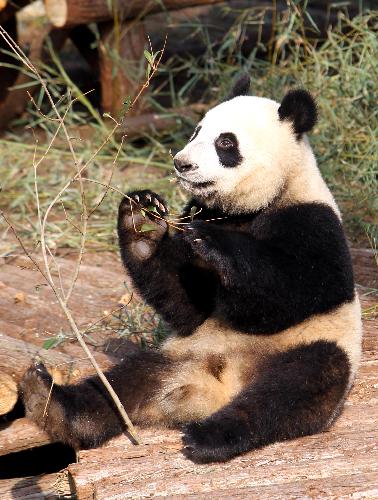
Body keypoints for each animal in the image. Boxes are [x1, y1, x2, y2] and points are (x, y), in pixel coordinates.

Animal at [19, 75, 360, 464]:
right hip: (179, 355)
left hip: (313, 347)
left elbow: (288, 295)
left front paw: (214, 245)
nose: (182, 164)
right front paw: (142, 223)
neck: (248, 208)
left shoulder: (313, 222)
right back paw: (52, 404)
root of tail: (216, 388)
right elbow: (186, 305)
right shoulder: (197, 215)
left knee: (291, 390)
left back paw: (209, 437)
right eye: (197, 131)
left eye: (225, 142)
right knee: (123, 383)